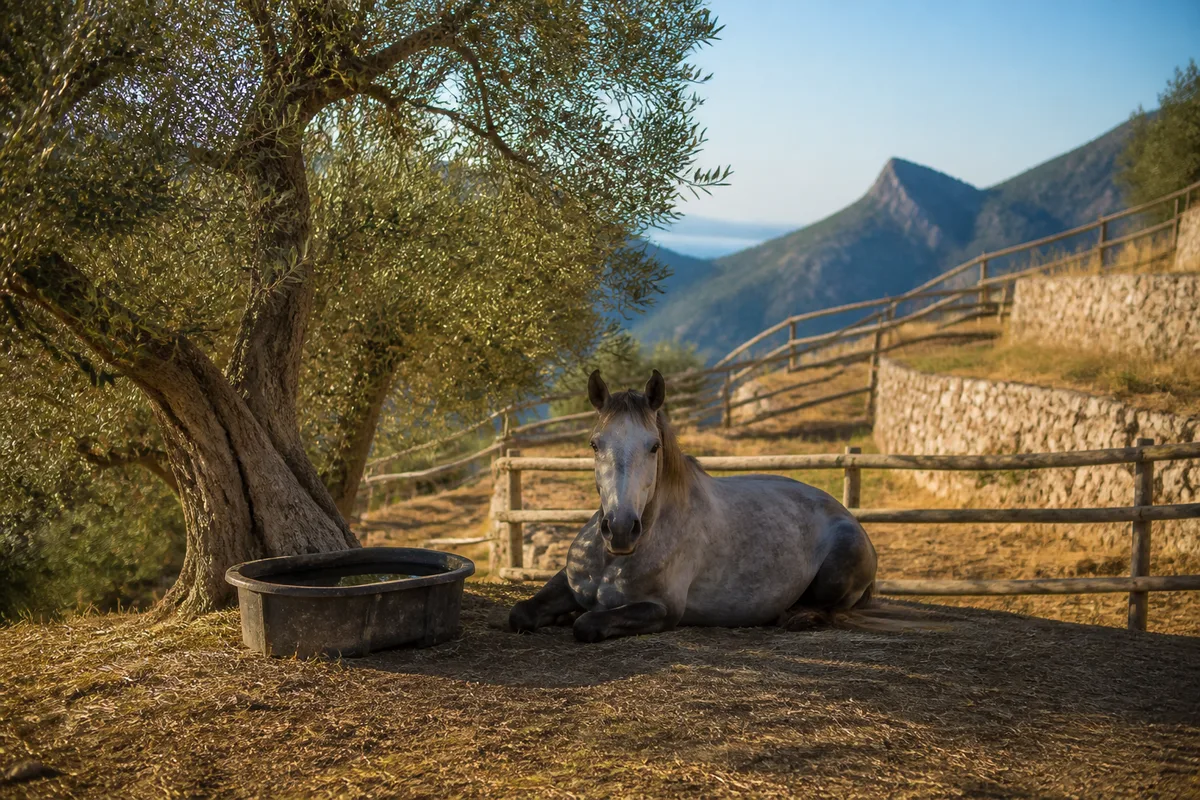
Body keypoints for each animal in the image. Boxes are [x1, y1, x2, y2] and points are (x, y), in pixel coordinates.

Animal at [508, 368, 879, 643]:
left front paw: (575, 617)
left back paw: (798, 615)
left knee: (830, 608)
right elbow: (520, 613)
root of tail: (845, 514)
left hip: (838, 571)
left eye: (654, 446)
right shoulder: (566, 582)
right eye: (594, 444)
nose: (620, 529)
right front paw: (562, 612)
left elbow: (587, 624)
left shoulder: (662, 609)